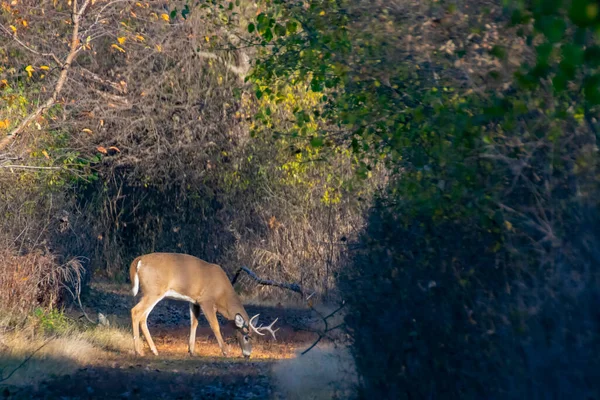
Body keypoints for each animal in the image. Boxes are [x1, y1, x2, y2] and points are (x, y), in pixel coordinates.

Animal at [129, 252, 278, 358]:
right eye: (247, 337)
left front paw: (192, 351)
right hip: (154, 291)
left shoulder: (194, 301)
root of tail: (139, 260)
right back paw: (138, 351)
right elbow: (215, 325)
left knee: (143, 317)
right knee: (135, 311)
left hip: (150, 292)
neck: (222, 293)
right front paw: (225, 351)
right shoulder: (206, 300)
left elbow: (194, 323)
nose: (247, 355)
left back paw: (153, 350)